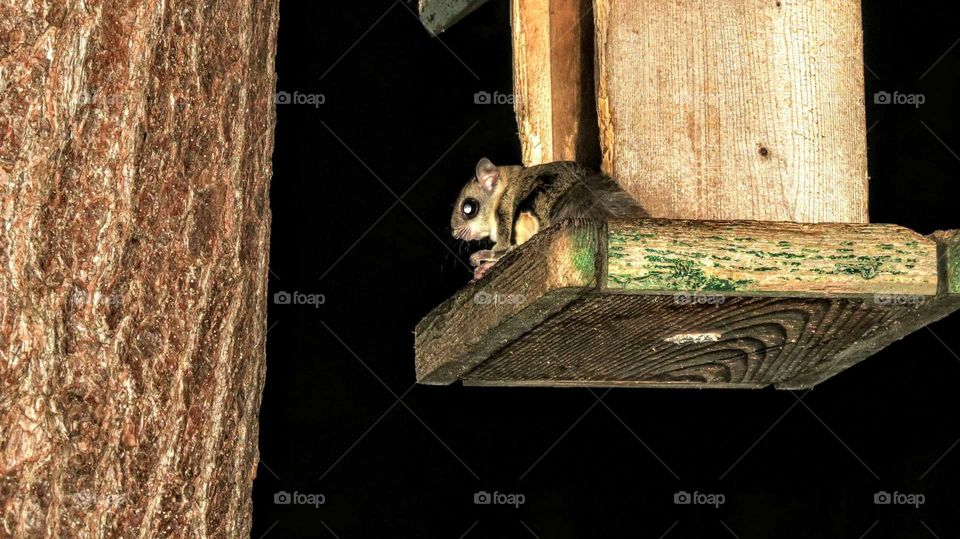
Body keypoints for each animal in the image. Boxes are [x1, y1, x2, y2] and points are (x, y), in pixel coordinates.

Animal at [451, 157, 647, 279]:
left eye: (468, 208)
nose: (455, 233)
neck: (504, 189)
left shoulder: (504, 211)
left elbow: (502, 249)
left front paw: (481, 258)